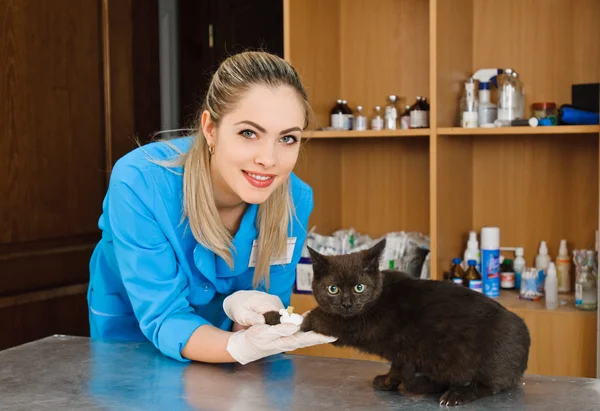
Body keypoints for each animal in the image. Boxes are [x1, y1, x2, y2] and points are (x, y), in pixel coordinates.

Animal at [264, 240, 532, 408]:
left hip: (491, 357)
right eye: (333, 289)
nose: (347, 304)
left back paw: (457, 393)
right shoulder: (401, 351)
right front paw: (388, 382)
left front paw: (287, 318)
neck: (377, 296)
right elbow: (396, 366)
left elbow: (318, 317)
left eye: (359, 287)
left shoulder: (355, 326)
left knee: (490, 385)